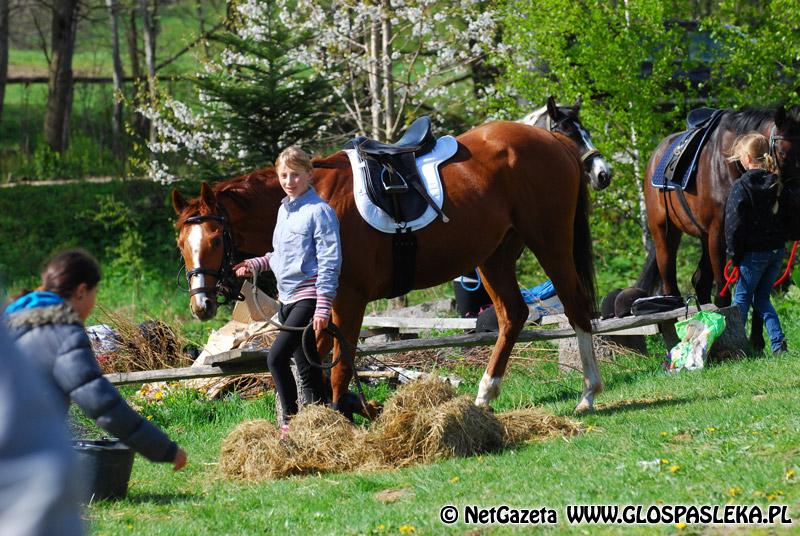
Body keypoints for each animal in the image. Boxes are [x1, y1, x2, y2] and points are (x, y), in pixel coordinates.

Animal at [172, 117, 604, 412]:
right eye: (182, 244)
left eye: (215, 239)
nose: (201, 305)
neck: (313, 198)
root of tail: (551, 139)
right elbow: (316, 358)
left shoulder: (347, 301)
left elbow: (339, 364)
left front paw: (343, 415)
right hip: (493, 256)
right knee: (513, 315)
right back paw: (485, 394)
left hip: (550, 243)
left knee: (575, 306)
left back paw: (588, 393)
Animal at [640, 107, 800, 320]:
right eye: (781, 154)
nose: (795, 198)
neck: (728, 164)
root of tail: (656, 155)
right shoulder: (718, 234)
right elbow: (724, 297)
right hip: (664, 232)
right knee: (670, 280)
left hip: (702, 235)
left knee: (700, 281)